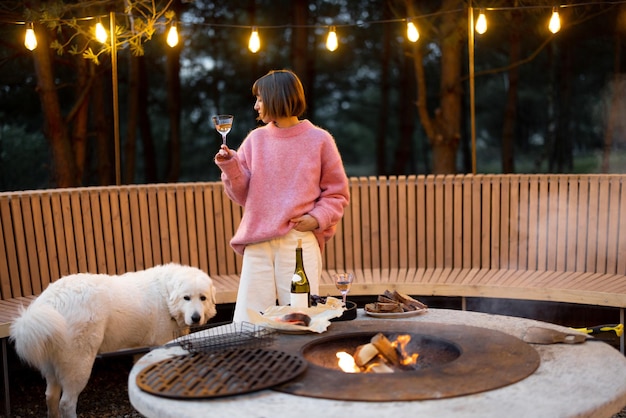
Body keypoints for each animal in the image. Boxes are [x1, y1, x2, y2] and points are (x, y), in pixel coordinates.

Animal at [7, 262, 216, 418]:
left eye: (203, 298)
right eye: (186, 298)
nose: (196, 318)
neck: (165, 295)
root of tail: (50, 302)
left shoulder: (141, 348)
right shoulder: (159, 343)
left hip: (52, 366)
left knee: (50, 396)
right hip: (79, 363)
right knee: (66, 403)